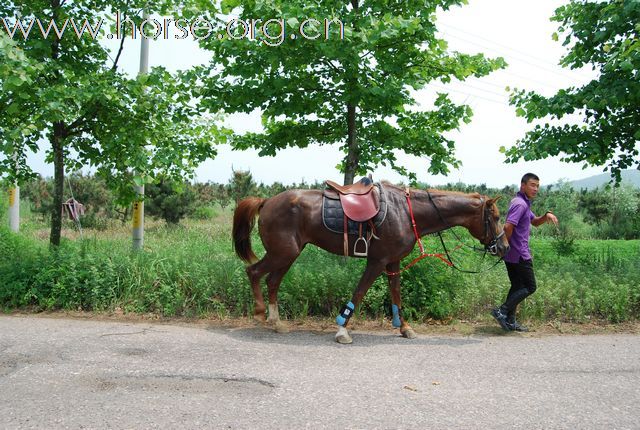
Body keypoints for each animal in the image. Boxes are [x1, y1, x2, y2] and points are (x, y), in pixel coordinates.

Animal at [232, 181, 508, 342]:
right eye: (495, 217)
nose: (504, 247)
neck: (406, 212)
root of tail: (267, 201)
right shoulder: (377, 261)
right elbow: (359, 293)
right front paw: (342, 329)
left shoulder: (393, 263)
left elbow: (396, 295)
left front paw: (404, 327)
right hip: (284, 252)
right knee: (254, 272)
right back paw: (260, 312)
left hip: (289, 254)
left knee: (272, 281)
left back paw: (276, 322)